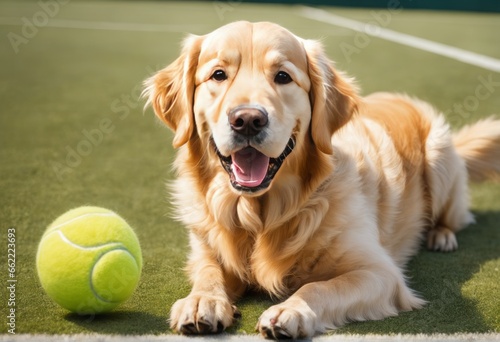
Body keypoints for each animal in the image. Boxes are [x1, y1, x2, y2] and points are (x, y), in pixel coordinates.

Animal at [143, 22, 500, 340]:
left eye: (283, 77)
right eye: (218, 74)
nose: (247, 120)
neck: (263, 215)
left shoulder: (380, 273)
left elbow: (318, 286)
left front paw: (292, 310)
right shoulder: (205, 250)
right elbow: (209, 272)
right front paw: (201, 300)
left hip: (439, 158)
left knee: (453, 216)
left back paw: (442, 235)